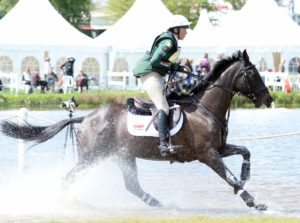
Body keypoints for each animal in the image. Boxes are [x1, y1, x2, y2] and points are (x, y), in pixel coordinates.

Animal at [0, 50, 274, 211]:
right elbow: (228, 176)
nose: (268, 99)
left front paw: (246, 177)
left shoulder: (220, 148)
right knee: (69, 177)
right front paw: (252, 201)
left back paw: (157, 203)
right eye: (252, 72)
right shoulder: (208, 154)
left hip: (123, 155)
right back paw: (67, 203)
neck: (206, 109)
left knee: (131, 185)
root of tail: (86, 117)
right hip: (92, 156)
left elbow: (245, 152)